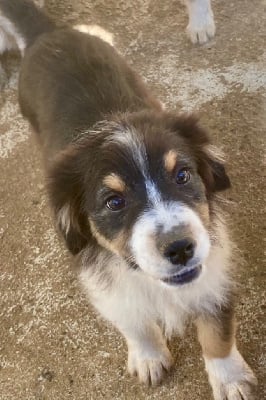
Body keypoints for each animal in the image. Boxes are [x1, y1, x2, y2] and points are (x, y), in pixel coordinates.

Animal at [0, 1, 258, 398]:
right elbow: (131, 319)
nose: (180, 248)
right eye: (114, 202)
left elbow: (218, 331)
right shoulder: (104, 283)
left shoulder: (216, 269)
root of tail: (49, 35)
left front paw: (230, 379)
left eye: (182, 176)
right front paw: (148, 356)